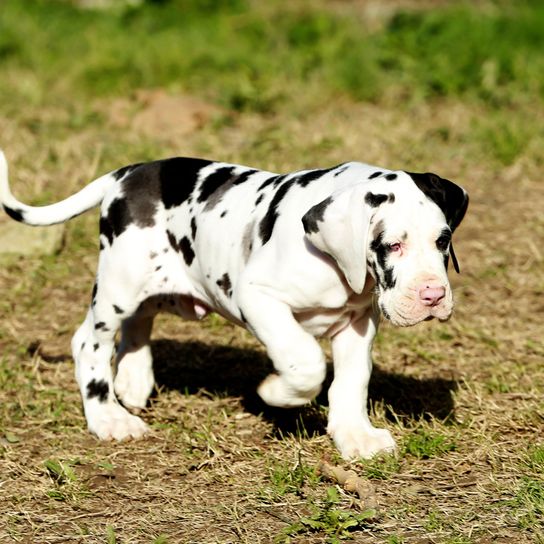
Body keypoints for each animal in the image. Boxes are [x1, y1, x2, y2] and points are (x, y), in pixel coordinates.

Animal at [0, 150, 468, 460]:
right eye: (392, 245)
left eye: (442, 240)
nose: (432, 296)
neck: (334, 260)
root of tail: (129, 173)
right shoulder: (257, 296)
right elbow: (305, 362)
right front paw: (277, 392)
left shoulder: (357, 322)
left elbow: (351, 382)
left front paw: (355, 435)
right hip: (119, 283)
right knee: (89, 343)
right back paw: (107, 418)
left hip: (153, 284)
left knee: (139, 320)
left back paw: (133, 379)